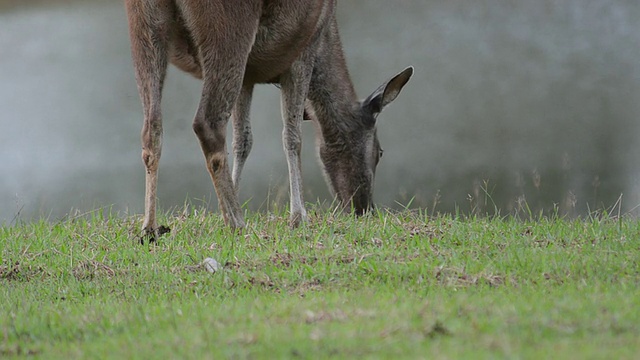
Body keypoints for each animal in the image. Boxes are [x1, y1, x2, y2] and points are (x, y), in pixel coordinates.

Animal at [124, 0, 416, 242]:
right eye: (380, 152)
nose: (364, 209)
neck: (328, 36)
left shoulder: (248, 78)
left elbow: (243, 141)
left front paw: (225, 207)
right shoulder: (303, 51)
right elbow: (292, 136)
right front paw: (298, 217)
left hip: (144, 25)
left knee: (152, 126)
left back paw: (150, 228)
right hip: (229, 28)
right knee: (206, 123)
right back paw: (237, 223)